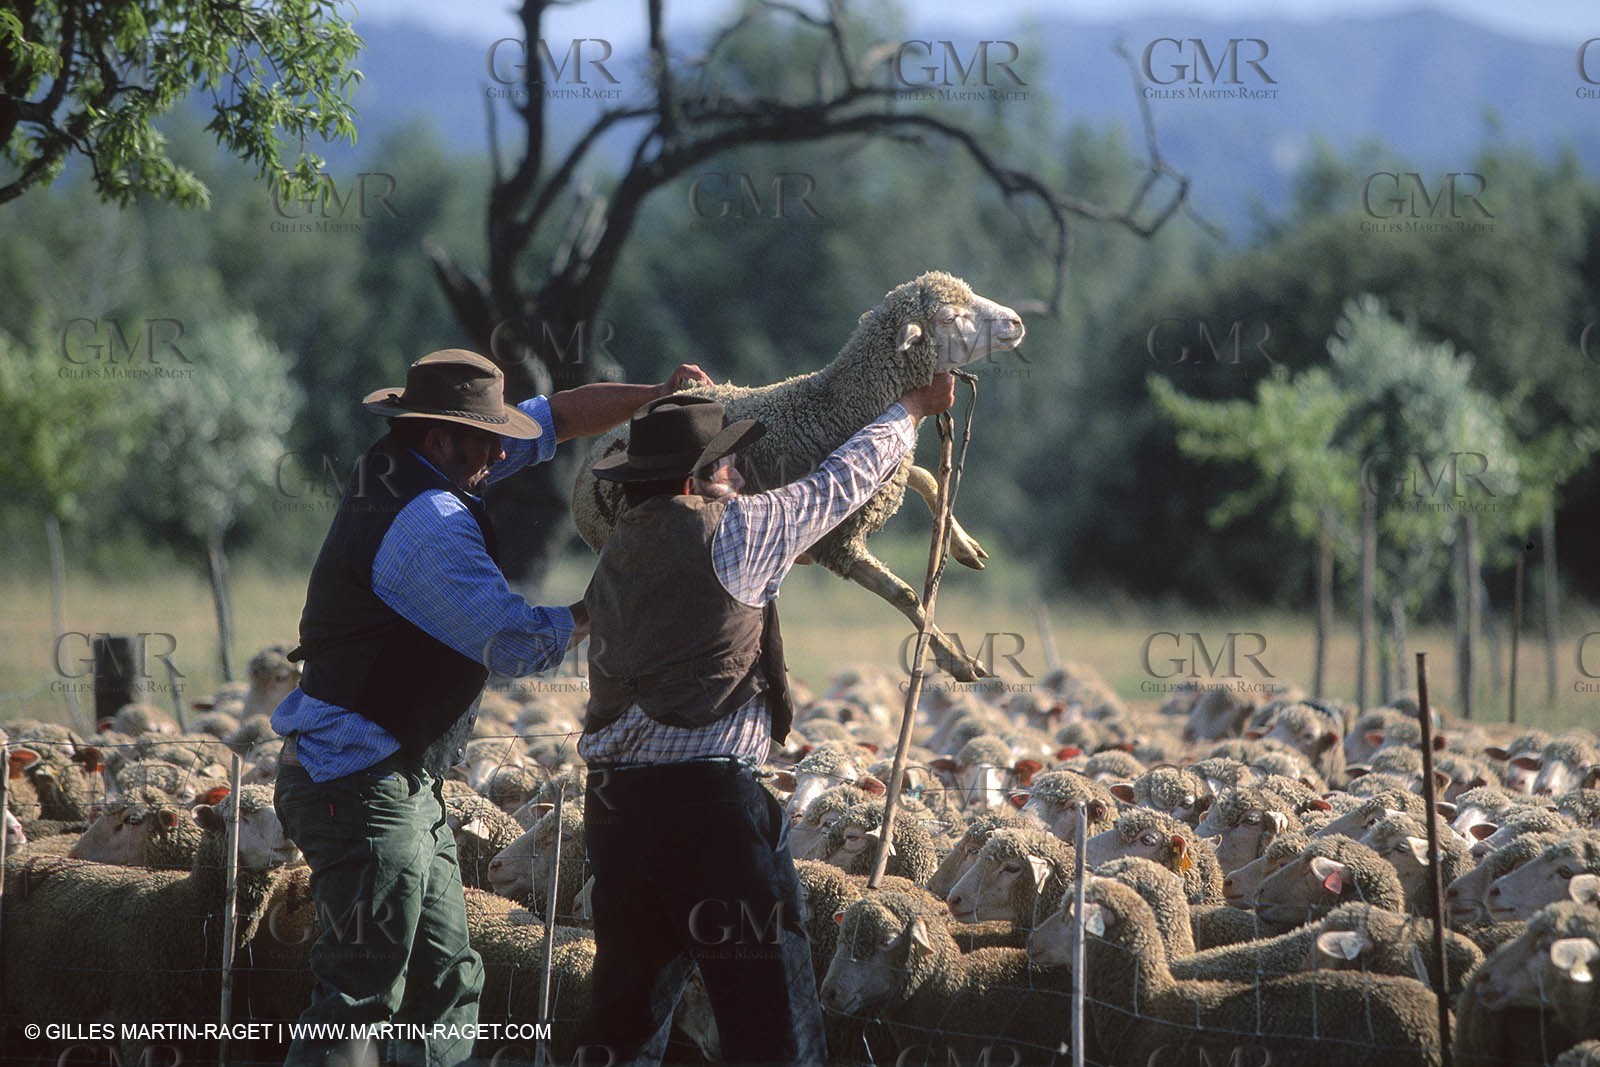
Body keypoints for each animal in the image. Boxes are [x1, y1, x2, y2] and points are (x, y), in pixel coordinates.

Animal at [574, 271, 1026, 681]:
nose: (1017, 322)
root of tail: (595, 452)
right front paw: (958, 661)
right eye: (949, 317)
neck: (837, 405)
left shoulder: (881, 479)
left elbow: (923, 476)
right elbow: (907, 595)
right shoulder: (838, 543)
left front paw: (964, 546)